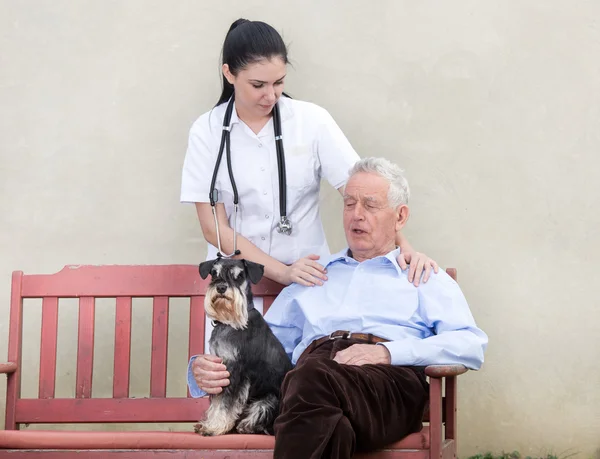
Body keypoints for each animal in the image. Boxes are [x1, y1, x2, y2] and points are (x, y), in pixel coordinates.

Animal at [195, 256, 292, 436]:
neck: (229, 323)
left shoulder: (235, 371)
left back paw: (247, 426)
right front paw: (209, 423)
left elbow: (225, 402)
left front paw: (214, 427)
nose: (221, 287)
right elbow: (217, 400)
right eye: (214, 273)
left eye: (238, 276)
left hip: (270, 399)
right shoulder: (220, 369)